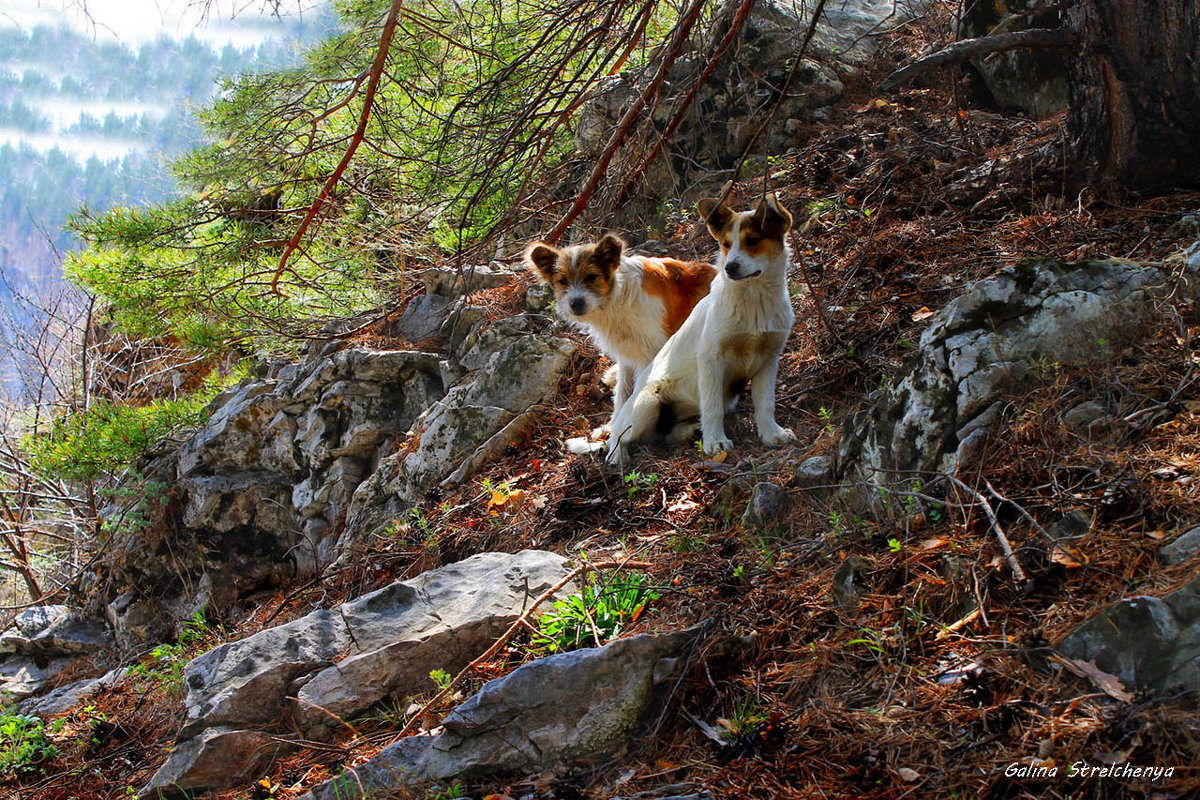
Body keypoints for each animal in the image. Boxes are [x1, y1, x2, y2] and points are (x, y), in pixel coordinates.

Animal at [525, 235, 710, 424]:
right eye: (562, 281)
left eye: (591, 277)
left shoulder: (651, 353)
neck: (617, 299)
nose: (575, 304)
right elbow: (624, 390)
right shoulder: (628, 352)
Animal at [609, 194, 796, 465]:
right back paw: (617, 455)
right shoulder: (710, 359)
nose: (730, 268)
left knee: (665, 434)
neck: (754, 302)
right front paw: (715, 442)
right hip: (647, 402)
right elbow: (712, 406)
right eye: (726, 244)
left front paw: (772, 433)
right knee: (618, 434)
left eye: (752, 241)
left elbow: (765, 403)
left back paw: (690, 430)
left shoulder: (769, 358)